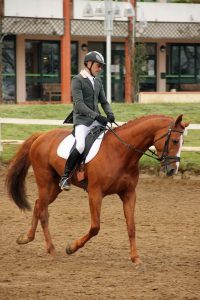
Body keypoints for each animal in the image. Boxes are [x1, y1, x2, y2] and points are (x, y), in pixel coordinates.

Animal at [5, 113, 188, 264]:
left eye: (182, 142)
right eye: (174, 141)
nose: (173, 170)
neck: (121, 152)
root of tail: (40, 136)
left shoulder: (128, 193)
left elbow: (131, 226)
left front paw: (136, 258)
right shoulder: (95, 193)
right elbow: (95, 227)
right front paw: (71, 248)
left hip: (54, 187)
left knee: (38, 204)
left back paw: (26, 238)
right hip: (44, 182)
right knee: (43, 211)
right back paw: (51, 250)